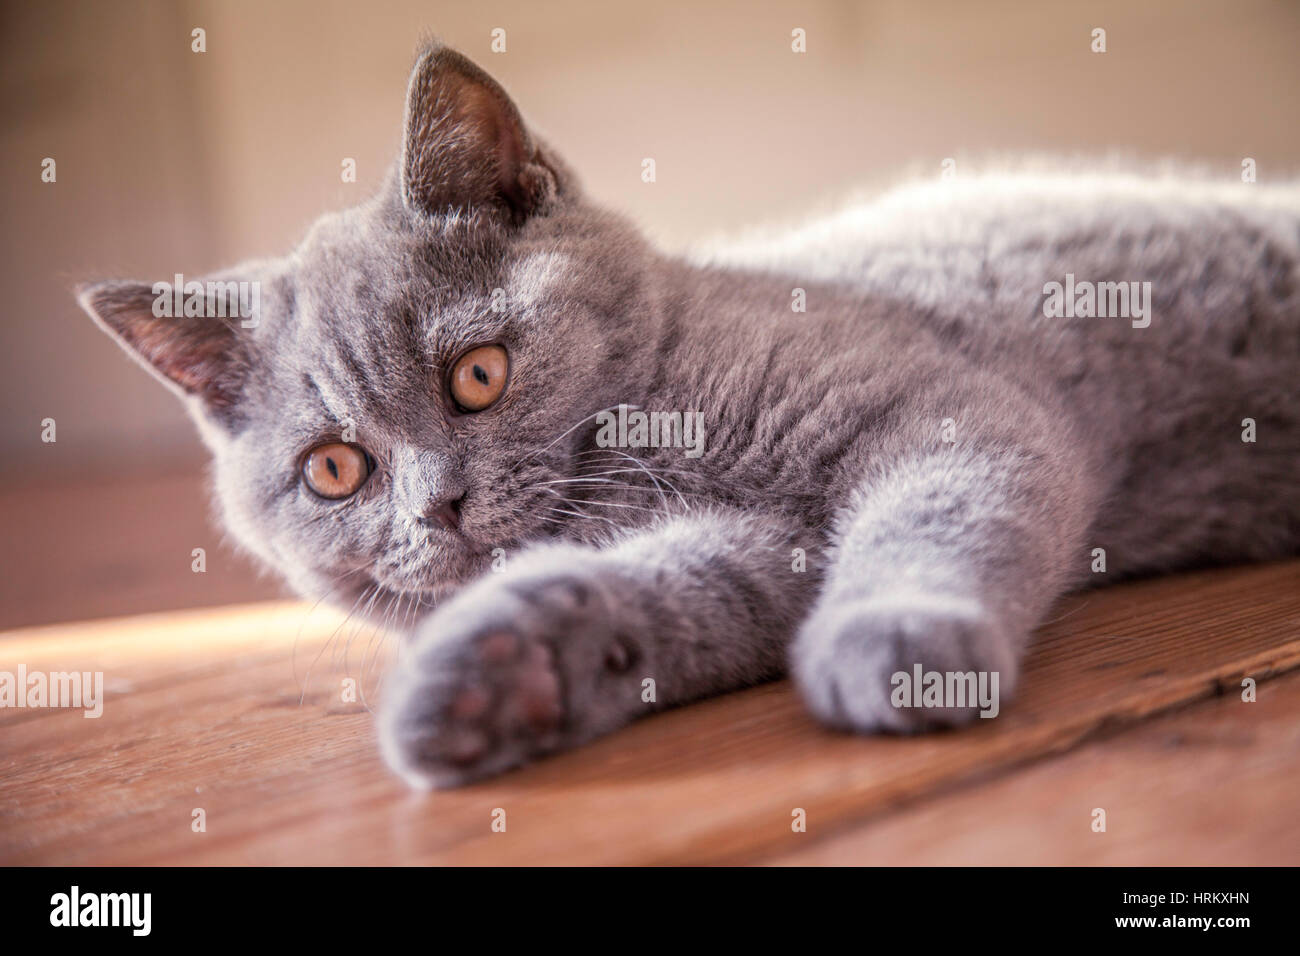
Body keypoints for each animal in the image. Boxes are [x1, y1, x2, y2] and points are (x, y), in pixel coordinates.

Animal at [78, 41, 1300, 790]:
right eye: (336, 471)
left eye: (477, 375)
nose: (440, 508)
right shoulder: (769, 547)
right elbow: (689, 590)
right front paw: (504, 675)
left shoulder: (949, 407)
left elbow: (933, 520)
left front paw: (896, 644)